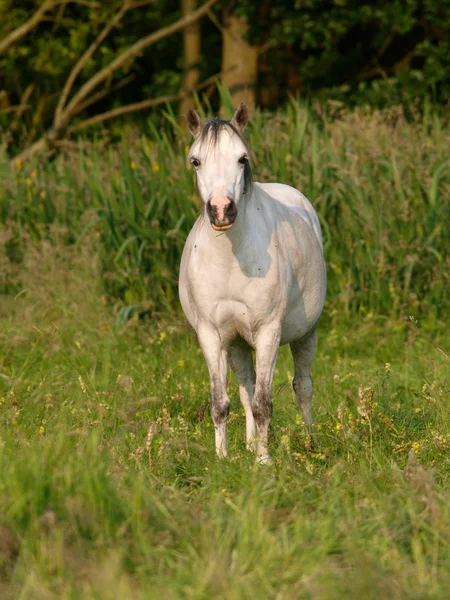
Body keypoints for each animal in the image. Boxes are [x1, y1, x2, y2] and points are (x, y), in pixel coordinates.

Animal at [179, 104, 326, 464]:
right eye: (196, 161)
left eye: (241, 158)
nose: (221, 210)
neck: (230, 260)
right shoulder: (212, 335)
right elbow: (222, 403)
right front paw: (223, 459)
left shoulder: (268, 333)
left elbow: (264, 404)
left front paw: (263, 461)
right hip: (237, 345)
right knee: (246, 389)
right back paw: (248, 444)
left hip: (305, 335)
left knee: (303, 387)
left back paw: (311, 443)